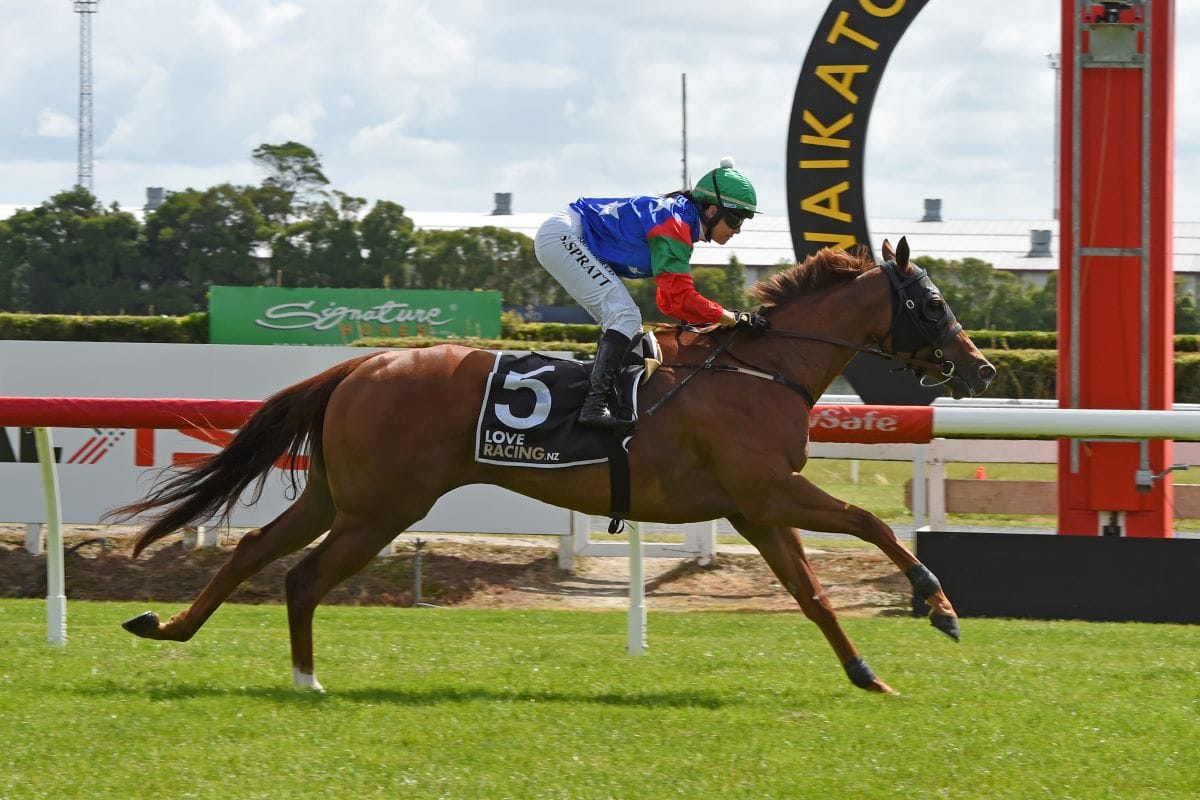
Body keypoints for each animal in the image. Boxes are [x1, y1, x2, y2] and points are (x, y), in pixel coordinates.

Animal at [112, 237, 996, 695]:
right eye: (933, 305)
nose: (982, 369)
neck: (761, 370)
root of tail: (361, 364)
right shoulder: (771, 489)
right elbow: (872, 521)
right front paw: (940, 604)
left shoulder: (755, 507)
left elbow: (811, 593)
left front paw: (866, 673)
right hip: (382, 508)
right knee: (300, 575)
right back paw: (303, 679)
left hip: (342, 496)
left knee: (257, 551)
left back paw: (171, 627)